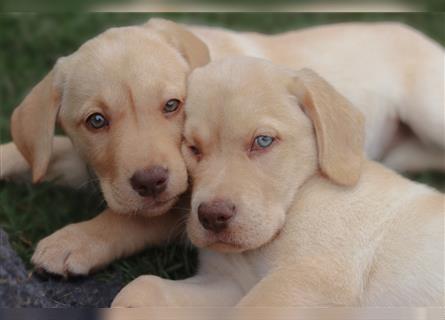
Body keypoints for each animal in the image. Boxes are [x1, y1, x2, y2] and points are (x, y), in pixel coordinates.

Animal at [1, 18, 442, 276]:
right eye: (96, 121)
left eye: (172, 105)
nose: (151, 182)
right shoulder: (96, 168)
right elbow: (36, 153)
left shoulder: (183, 205)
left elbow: (132, 220)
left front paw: (73, 242)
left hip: (428, 109)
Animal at [112, 57, 442, 308]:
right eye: (192, 148)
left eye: (263, 141)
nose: (212, 217)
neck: (299, 194)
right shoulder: (231, 282)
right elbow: (141, 287)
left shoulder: (304, 275)